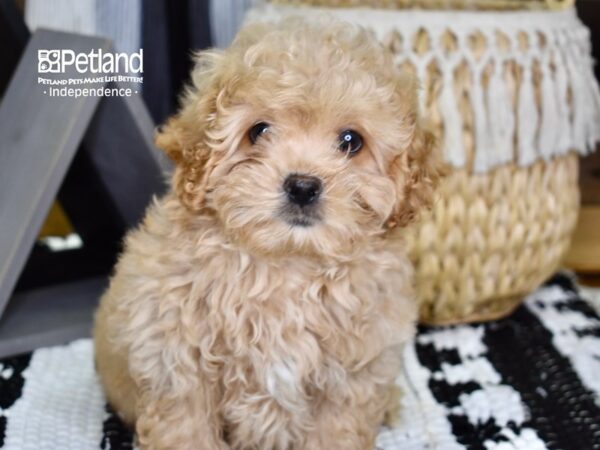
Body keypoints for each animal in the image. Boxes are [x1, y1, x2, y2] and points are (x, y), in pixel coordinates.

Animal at [94, 16, 440, 450]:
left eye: (351, 141)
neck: (288, 266)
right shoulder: (176, 362)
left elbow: (336, 430)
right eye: (257, 131)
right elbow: (187, 429)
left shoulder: (352, 375)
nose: (303, 186)